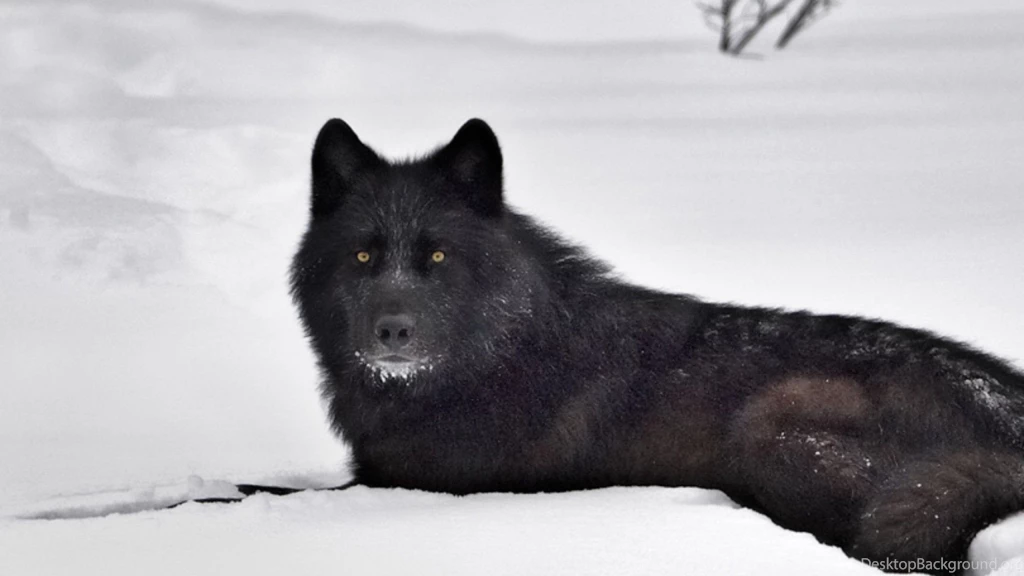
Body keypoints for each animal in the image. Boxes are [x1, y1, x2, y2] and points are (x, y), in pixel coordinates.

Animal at [289, 118, 1024, 573]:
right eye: (363, 255)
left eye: (437, 256)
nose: (393, 331)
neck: (494, 357)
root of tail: (1006, 420)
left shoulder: (413, 484)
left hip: (774, 427)